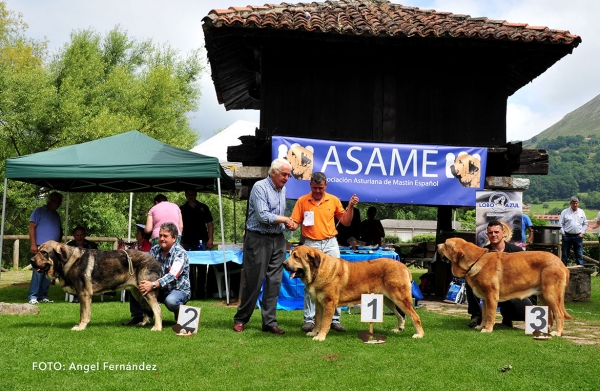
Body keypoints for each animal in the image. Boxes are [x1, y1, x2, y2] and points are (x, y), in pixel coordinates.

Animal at [29, 240, 163, 332]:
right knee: (147, 308)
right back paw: (144, 323)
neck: (66, 261)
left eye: (44, 253)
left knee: (157, 309)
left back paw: (157, 327)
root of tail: (156, 260)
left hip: (146, 291)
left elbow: (83, 313)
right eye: (38, 251)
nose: (31, 260)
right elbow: (83, 313)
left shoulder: (84, 294)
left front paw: (81, 327)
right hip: (137, 292)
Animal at [284, 247, 424, 342]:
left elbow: (324, 322)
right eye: (290, 254)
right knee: (400, 315)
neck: (317, 271)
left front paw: (320, 336)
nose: (284, 264)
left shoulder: (328, 303)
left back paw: (419, 334)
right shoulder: (319, 304)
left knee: (414, 316)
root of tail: (404, 266)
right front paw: (314, 333)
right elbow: (317, 320)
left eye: (296, 256)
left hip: (399, 298)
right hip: (388, 300)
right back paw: (398, 329)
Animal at [436, 237, 572, 336]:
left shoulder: (491, 297)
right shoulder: (485, 299)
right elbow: (484, 315)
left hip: (551, 294)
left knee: (559, 314)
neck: (474, 259)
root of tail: (562, 263)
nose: (437, 245)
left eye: (445, 243)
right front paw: (480, 326)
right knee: (551, 313)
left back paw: (557, 332)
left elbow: (490, 315)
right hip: (544, 295)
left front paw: (487, 329)